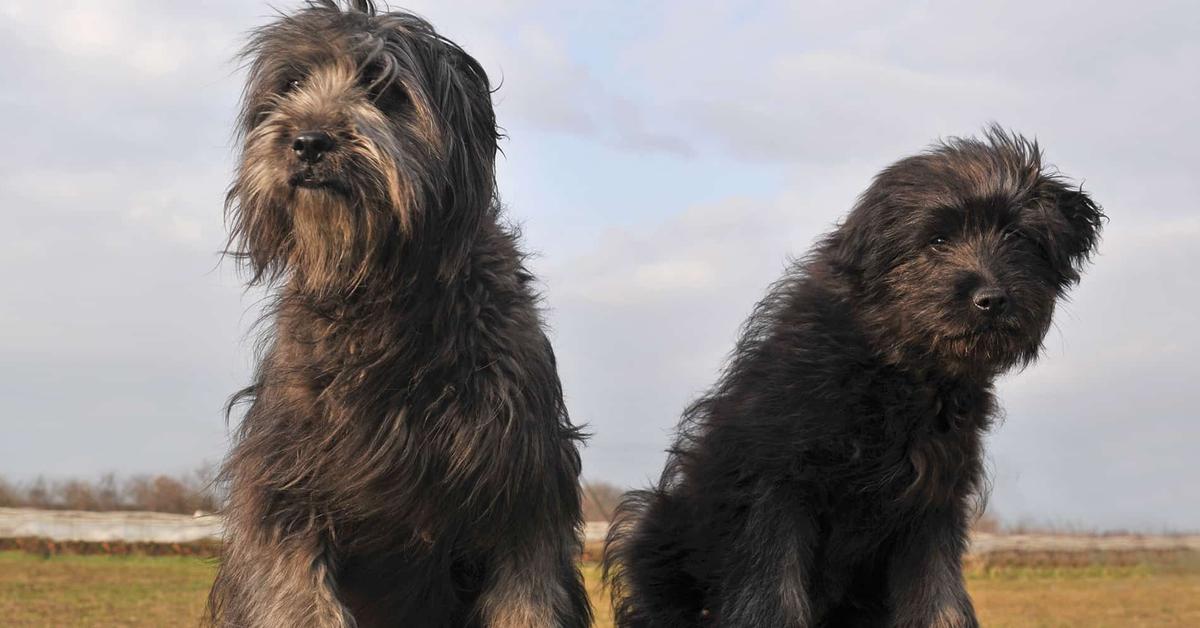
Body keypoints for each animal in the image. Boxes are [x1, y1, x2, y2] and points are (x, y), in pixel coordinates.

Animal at [211, 2, 595, 624]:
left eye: (386, 89)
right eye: (290, 85)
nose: (307, 142)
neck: (380, 294)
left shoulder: (525, 488)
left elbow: (527, 600)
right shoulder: (283, 489)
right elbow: (298, 599)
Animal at [604, 130, 1099, 624]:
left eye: (1017, 235)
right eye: (937, 239)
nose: (992, 299)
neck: (892, 367)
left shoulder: (932, 503)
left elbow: (939, 600)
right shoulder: (776, 487)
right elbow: (773, 596)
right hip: (655, 528)